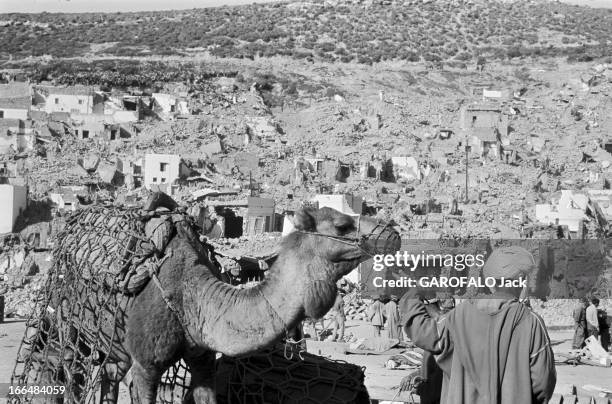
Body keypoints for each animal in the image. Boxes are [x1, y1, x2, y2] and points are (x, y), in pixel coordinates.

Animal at [26, 204, 402, 402]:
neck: (196, 297)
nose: (392, 231)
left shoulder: (203, 358)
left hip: (112, 344)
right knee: (60, 366)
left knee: (104, 375)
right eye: (342, 224)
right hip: (66, 321)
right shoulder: (146, 363)